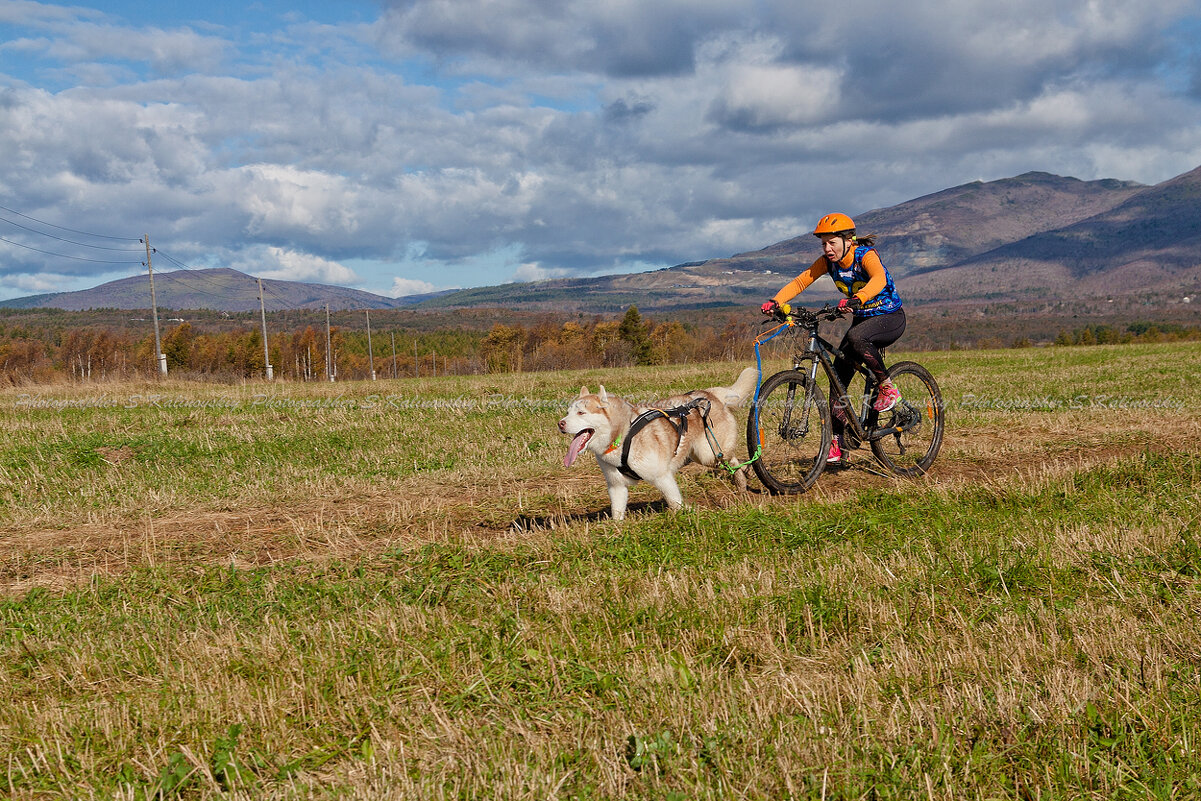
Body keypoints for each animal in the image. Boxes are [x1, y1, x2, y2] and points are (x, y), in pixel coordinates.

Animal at [557, 367, 754, 523]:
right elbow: (617, 513)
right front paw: (616, 530)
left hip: (709, 453)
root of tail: (708, 394)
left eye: (581, 413)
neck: (622, 436)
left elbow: (675, 503)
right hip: (700, 455)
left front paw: (685, 516)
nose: (560, 423)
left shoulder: (662, 477)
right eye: (568, 412)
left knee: (732, 459)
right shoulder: (616, 486)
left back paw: (745, 475)